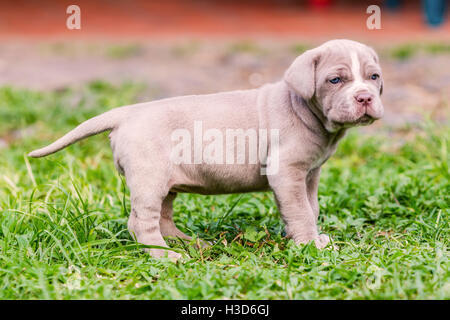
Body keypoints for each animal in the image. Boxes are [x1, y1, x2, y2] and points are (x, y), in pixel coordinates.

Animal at [29, 39, 384, 260]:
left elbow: (311, 207)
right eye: (335, 80)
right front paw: (311, 245)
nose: (365, 97)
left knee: (163, 218)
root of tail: (125, 113)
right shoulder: (287, 173)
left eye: (374, 77)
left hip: (164, 182)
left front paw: (314, 238)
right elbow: (300, 212)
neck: (305, 110)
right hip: (149, 177)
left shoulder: (309, 175)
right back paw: (166, 256)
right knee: (141, 223)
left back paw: (188, 244)